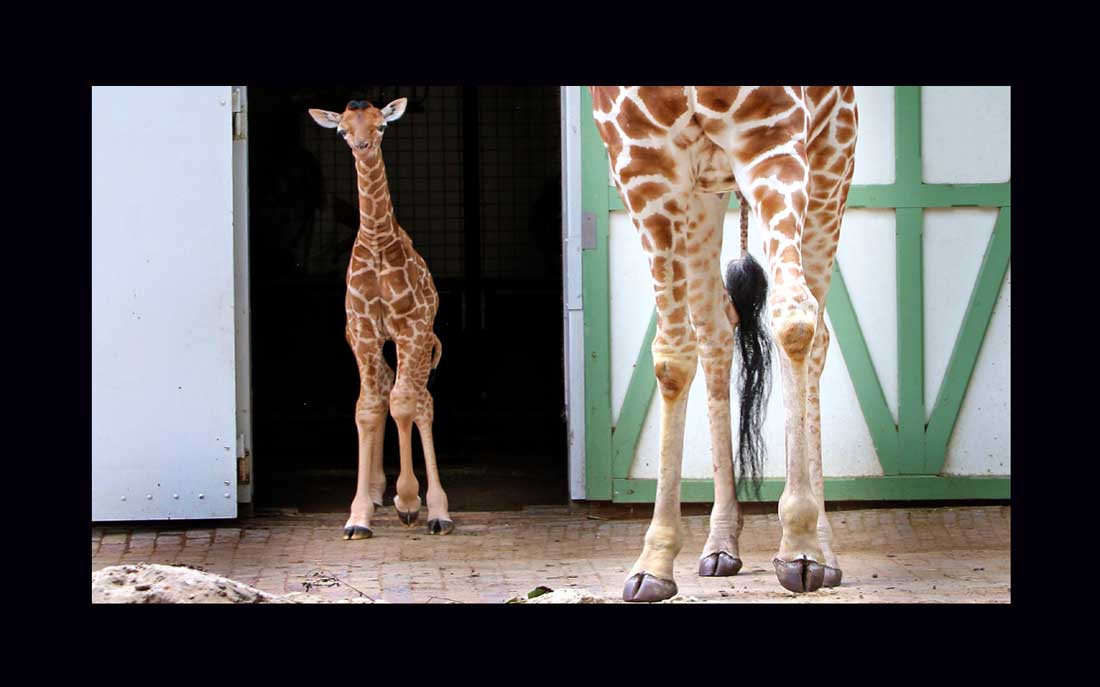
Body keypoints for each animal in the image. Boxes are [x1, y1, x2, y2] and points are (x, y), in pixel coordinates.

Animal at [305, 97, 451, 536]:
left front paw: (409, 501)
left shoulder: (411, 327)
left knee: (421, 399)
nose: (363, 146)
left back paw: (436, 509)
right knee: (384, 389)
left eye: (381, 126)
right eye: (342, 130)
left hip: (423, 340)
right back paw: (373, 492)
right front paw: (358, 515)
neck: (376, 242)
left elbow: (404, 403)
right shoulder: (365, 332)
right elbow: (368, 407)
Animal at [594, 86, 858, 597]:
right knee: (713, 331)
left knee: (815, 333)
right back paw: (720, 545)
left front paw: (799, 547)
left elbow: (794, 319)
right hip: (703, 197)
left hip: (832, 159)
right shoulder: (642, 166)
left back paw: (825, 552)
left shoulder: (772, 141)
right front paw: (653, 564)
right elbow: (672, 359)